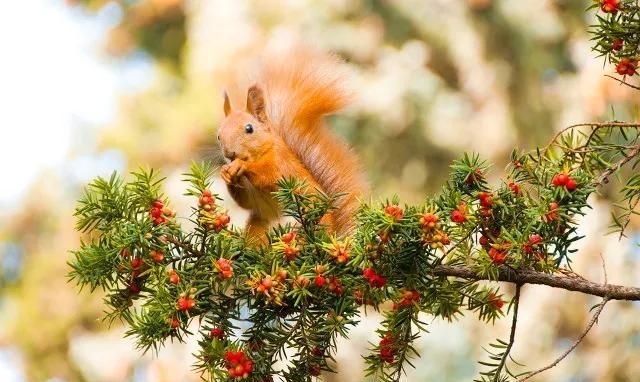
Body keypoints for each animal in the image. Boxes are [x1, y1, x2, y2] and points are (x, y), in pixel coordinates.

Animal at [219, 47, 364, 239]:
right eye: (219, 136)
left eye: (249, 129)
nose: (229, 153)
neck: (259, 155)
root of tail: (332, 234)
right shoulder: (253, 198)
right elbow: (246, 202)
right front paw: (225, 173)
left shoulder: (281, 163)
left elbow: (268, 175)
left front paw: (241, 166)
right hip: (259, 225)